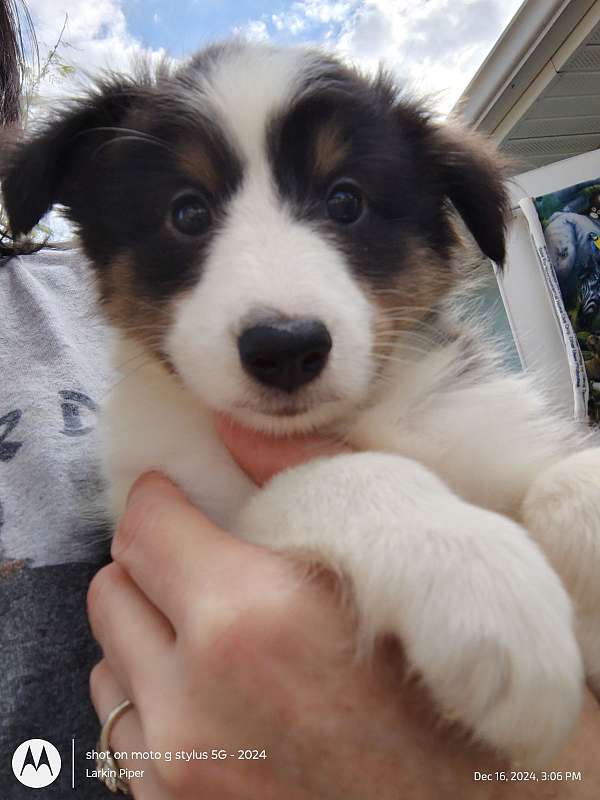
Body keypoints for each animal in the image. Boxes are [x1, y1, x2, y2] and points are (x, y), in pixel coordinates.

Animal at [1, 37, 600, 764]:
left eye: (345, 201)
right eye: (187, 212)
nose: (285, 349)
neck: (348, 418)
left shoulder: (475, 423)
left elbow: (567, 477)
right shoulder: (181, 504)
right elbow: (337, 474)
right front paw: (482, 582)